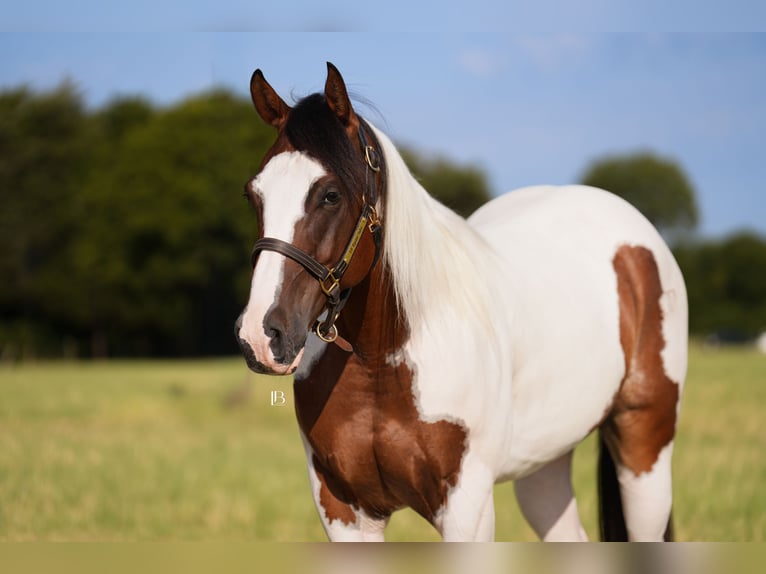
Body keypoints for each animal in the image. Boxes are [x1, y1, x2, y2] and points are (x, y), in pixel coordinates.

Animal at [235, 63, 688, 542]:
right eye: (253, 194)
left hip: (645, 450)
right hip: (544, 463)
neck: (382, 362)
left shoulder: (465, 509)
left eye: (330, 195)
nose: (262, 335)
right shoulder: (342, 510)